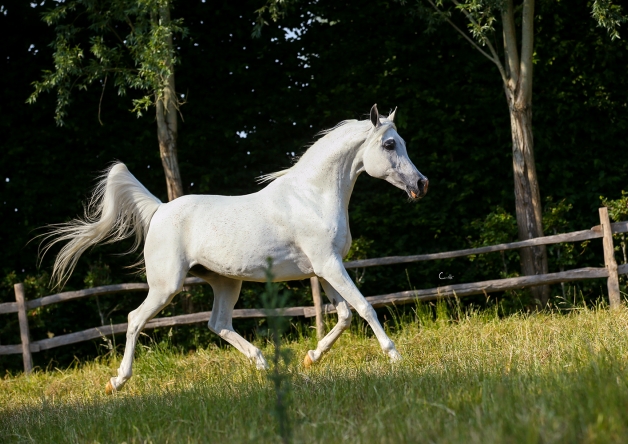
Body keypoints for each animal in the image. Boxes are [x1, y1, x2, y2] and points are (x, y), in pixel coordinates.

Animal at [42, 105, 429, 394]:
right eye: (390, 145)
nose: (422, 183)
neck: (312, 196)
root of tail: (159, 210)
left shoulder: (323, 269)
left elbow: (345, 315)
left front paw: (310, 358)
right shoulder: (329, 265)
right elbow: (364, 307)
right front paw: (396, 358)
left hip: (226, 282)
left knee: (219, 323)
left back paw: (262, 363)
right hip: (166, 285)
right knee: (136, 319)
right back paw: (117, 382)